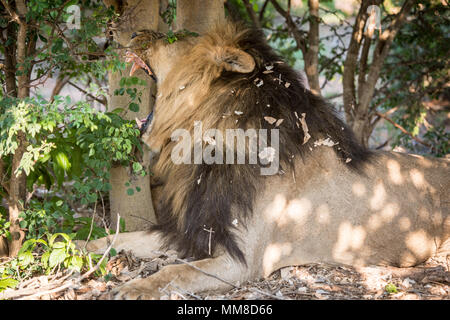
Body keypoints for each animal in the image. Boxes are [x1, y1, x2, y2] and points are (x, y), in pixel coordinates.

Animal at [85, 21, 450, 298]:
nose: (131, 32)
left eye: (174, 38)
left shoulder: (242, 262)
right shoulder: (188, 231)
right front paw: (73, 246)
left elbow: (175, 272)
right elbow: (115, 239)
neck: (205, 145)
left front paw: (134, 288)